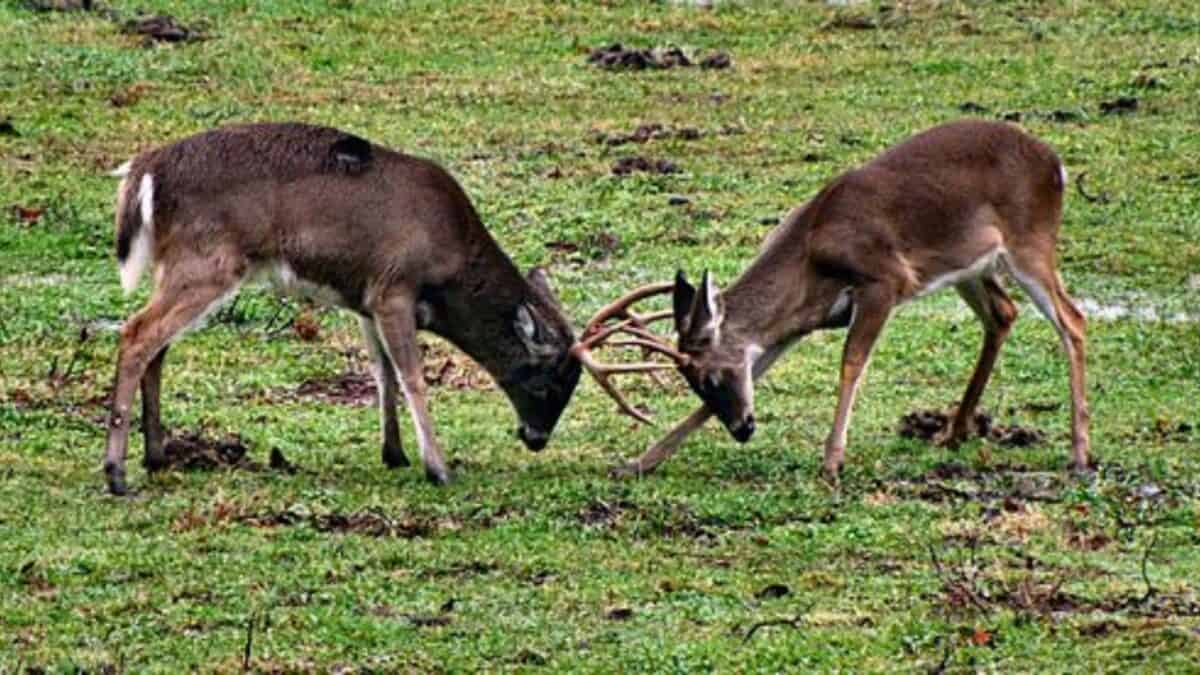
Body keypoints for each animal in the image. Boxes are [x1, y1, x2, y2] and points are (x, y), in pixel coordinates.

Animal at [103, 122, 582, 495]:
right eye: (546, 382)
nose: (536, 438)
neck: (449, 262)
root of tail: (143, 172)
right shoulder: (395, 287)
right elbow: (412, 377)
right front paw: (438, 468)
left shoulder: (366, 299)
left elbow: (383, 374)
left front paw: (395, 453)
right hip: (208, 261)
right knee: (137, 333)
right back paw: (116, 473)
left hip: (180, 266)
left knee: (157, 344)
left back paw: (156, 456)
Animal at [574, 119, 1091, 481]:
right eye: (697, 382)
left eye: (711, 376)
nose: (743, 430)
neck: (809, 251)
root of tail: (1056, 165)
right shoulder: (801, 320)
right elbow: (758, 370)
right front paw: (639, 462)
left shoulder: (884, 280)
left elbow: (851, 362)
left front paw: (831, 462)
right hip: (972, 265)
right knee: (1004, 313)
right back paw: (954, 431)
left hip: (1029, 241)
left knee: (1073, 319)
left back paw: (1079, 452)